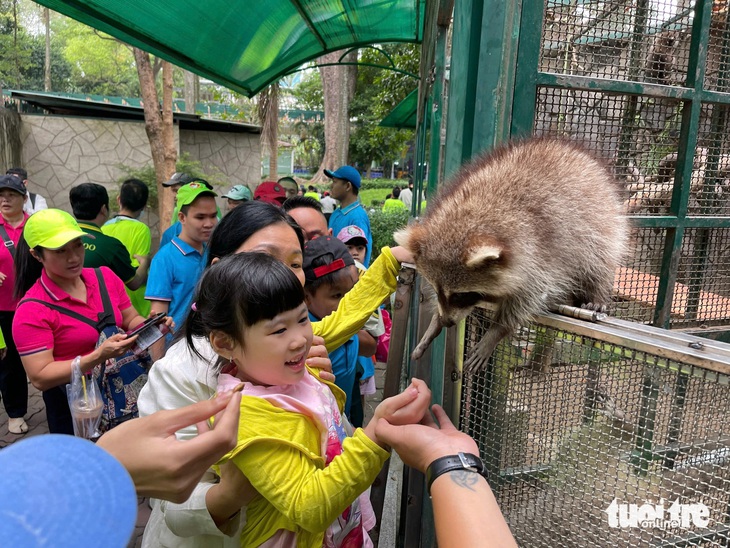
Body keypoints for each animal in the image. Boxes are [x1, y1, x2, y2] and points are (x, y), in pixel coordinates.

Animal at [392, 137, 624, 372]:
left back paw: (597, 292)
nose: (447, 321)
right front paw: (435, 320)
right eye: (439, 291)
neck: (475, 215)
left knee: (598, 259)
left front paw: (497, 330)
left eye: (461, 295)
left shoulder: (540, 254)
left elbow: (528, 298)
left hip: (600, 221)